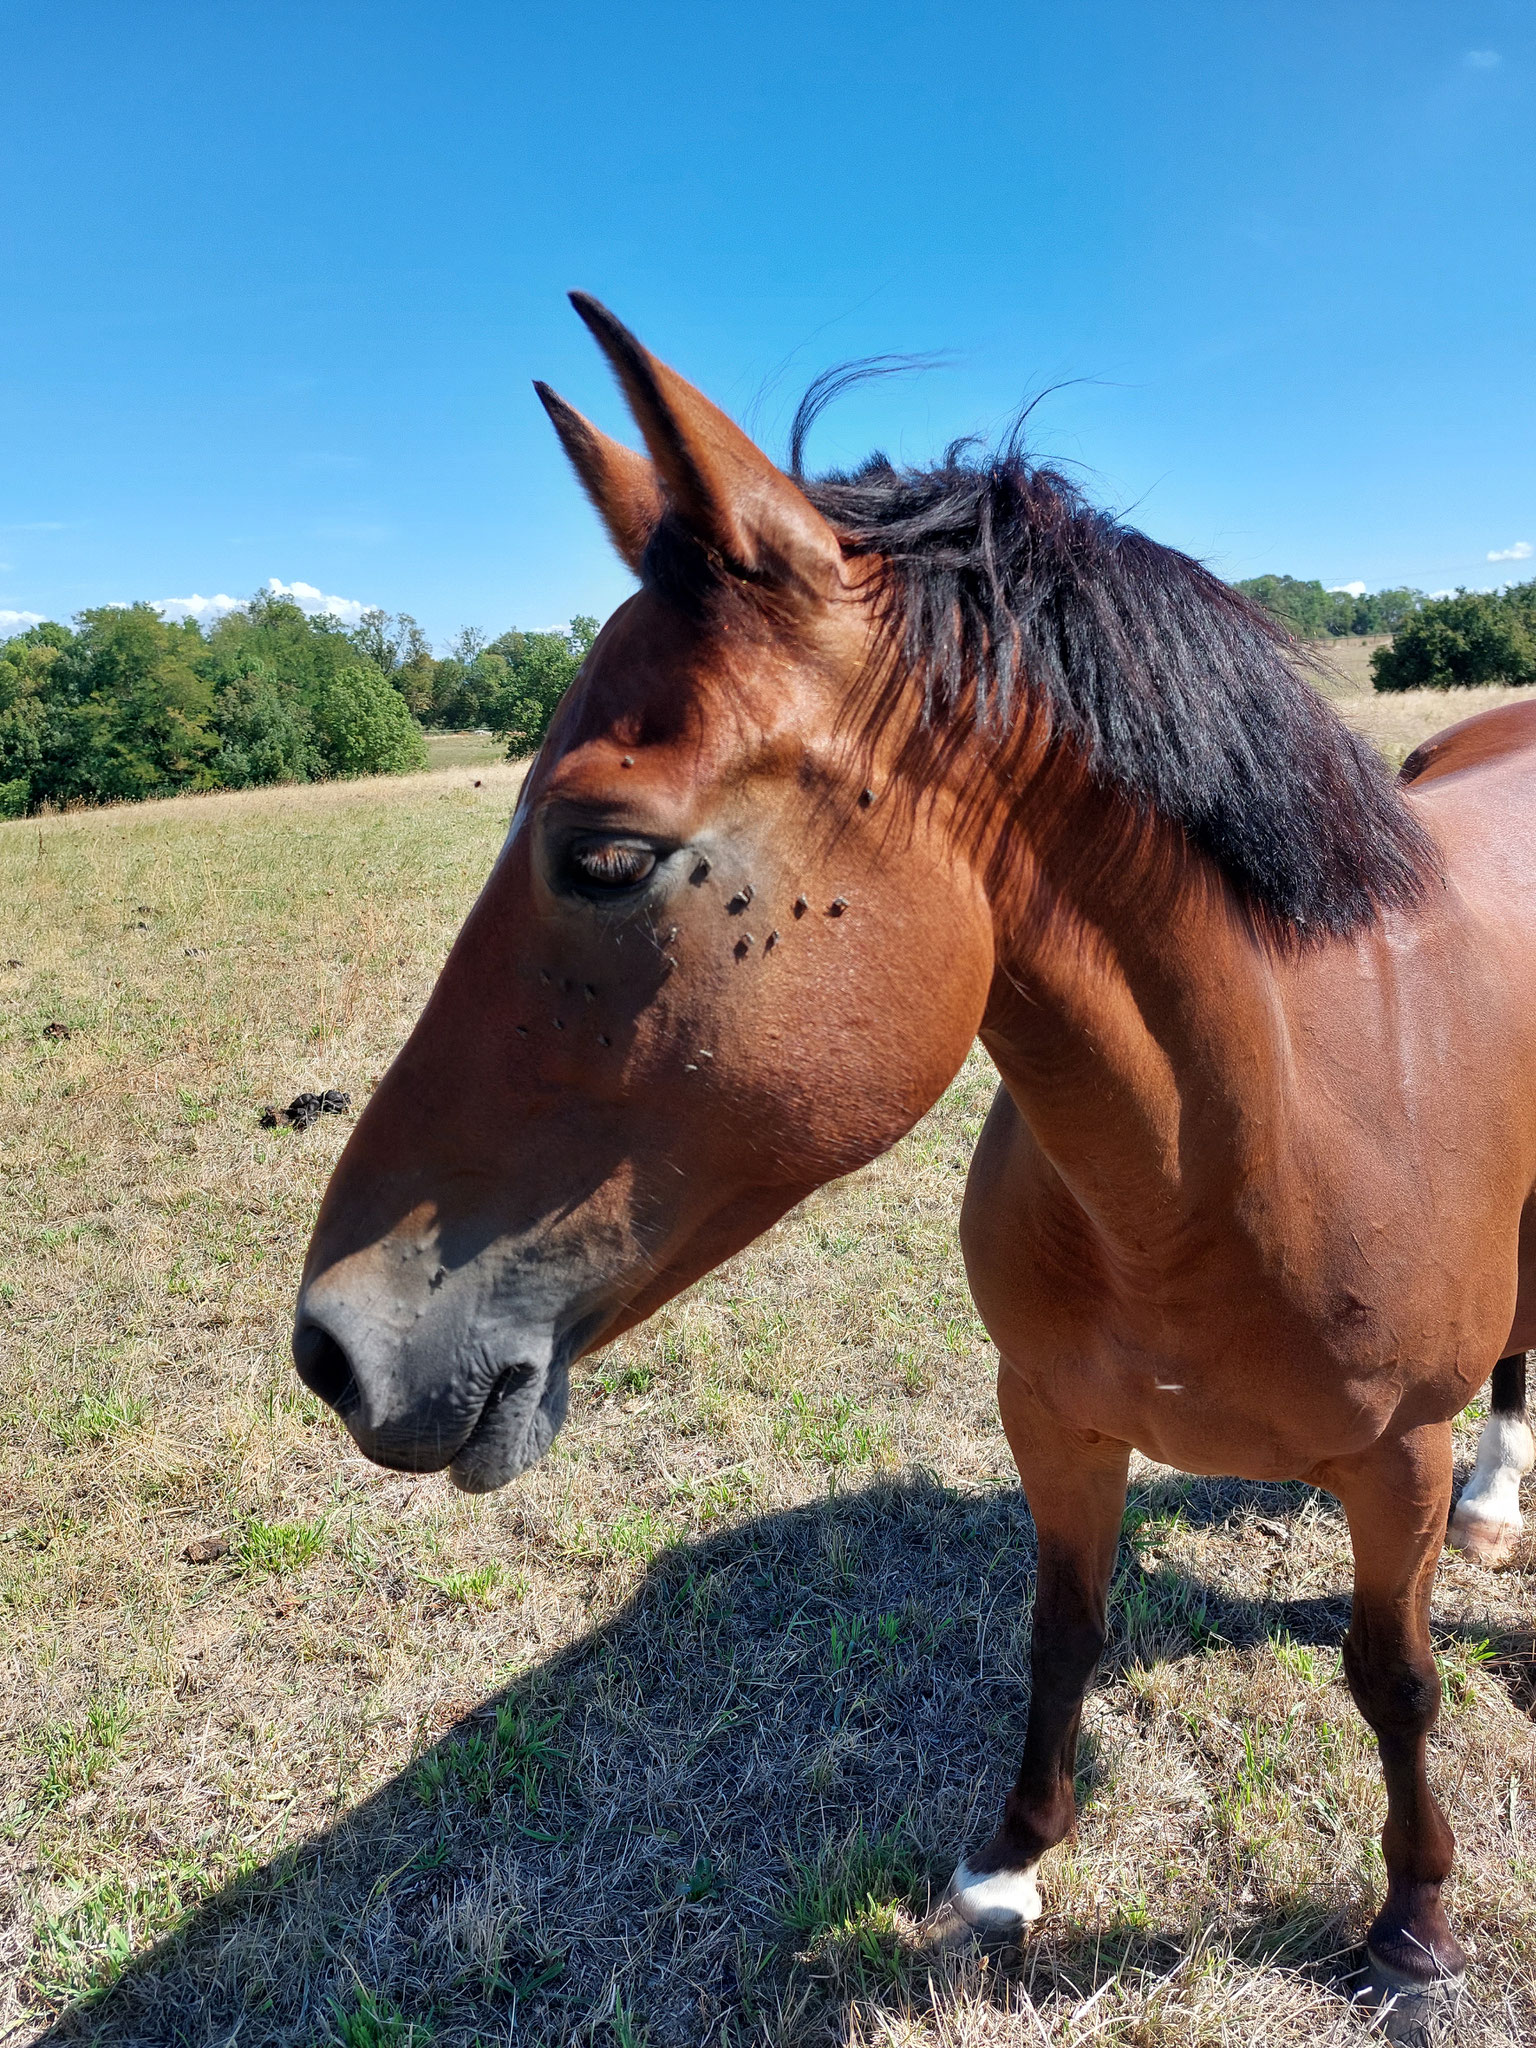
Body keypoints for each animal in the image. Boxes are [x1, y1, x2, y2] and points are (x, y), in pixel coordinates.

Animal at [296, 296, 1536, 2007]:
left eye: (602, 854)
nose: (333, 1348)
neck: (1240, 1156)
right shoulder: (1055, 1420)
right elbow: (1061, 1632)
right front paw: (1009, 1864)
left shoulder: (1393, 1460)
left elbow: (1394, 1681)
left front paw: (1412, 1928)